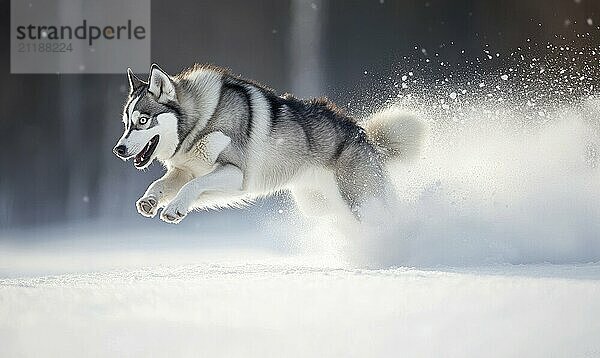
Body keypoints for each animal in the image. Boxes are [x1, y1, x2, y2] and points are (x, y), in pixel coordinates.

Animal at [113, 63, 426, 222]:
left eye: (143, 120)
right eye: (127, 122)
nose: (119, 150)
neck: (202, 121)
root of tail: (363, 135)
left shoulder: (235, 173)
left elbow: (192, 186)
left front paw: (174, 209)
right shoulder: (188, 171)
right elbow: (164, 184)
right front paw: (150, 201)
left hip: (357, 198)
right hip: (319, 205)